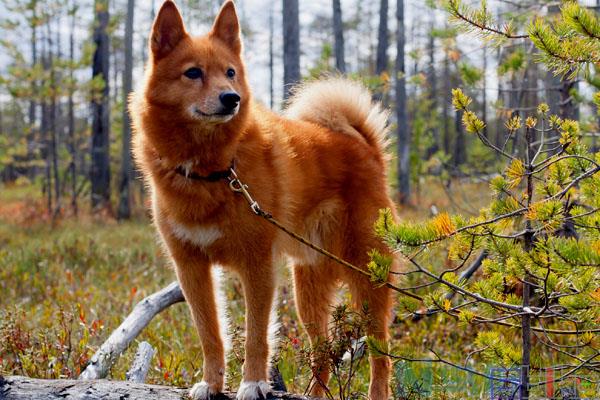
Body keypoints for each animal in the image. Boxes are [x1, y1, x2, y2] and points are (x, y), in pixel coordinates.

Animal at [130, 1, 398, 398]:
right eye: (193, 73)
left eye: (230, 72)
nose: (232, 98)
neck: (215, 170)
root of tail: (365, 147)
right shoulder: (191, 268)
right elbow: (211, 335)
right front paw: (211, 383)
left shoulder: (257, 265)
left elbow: (257, 334)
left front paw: (253, 382)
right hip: (308, 290)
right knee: (322, 354)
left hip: (366, 276)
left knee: (382, 352)